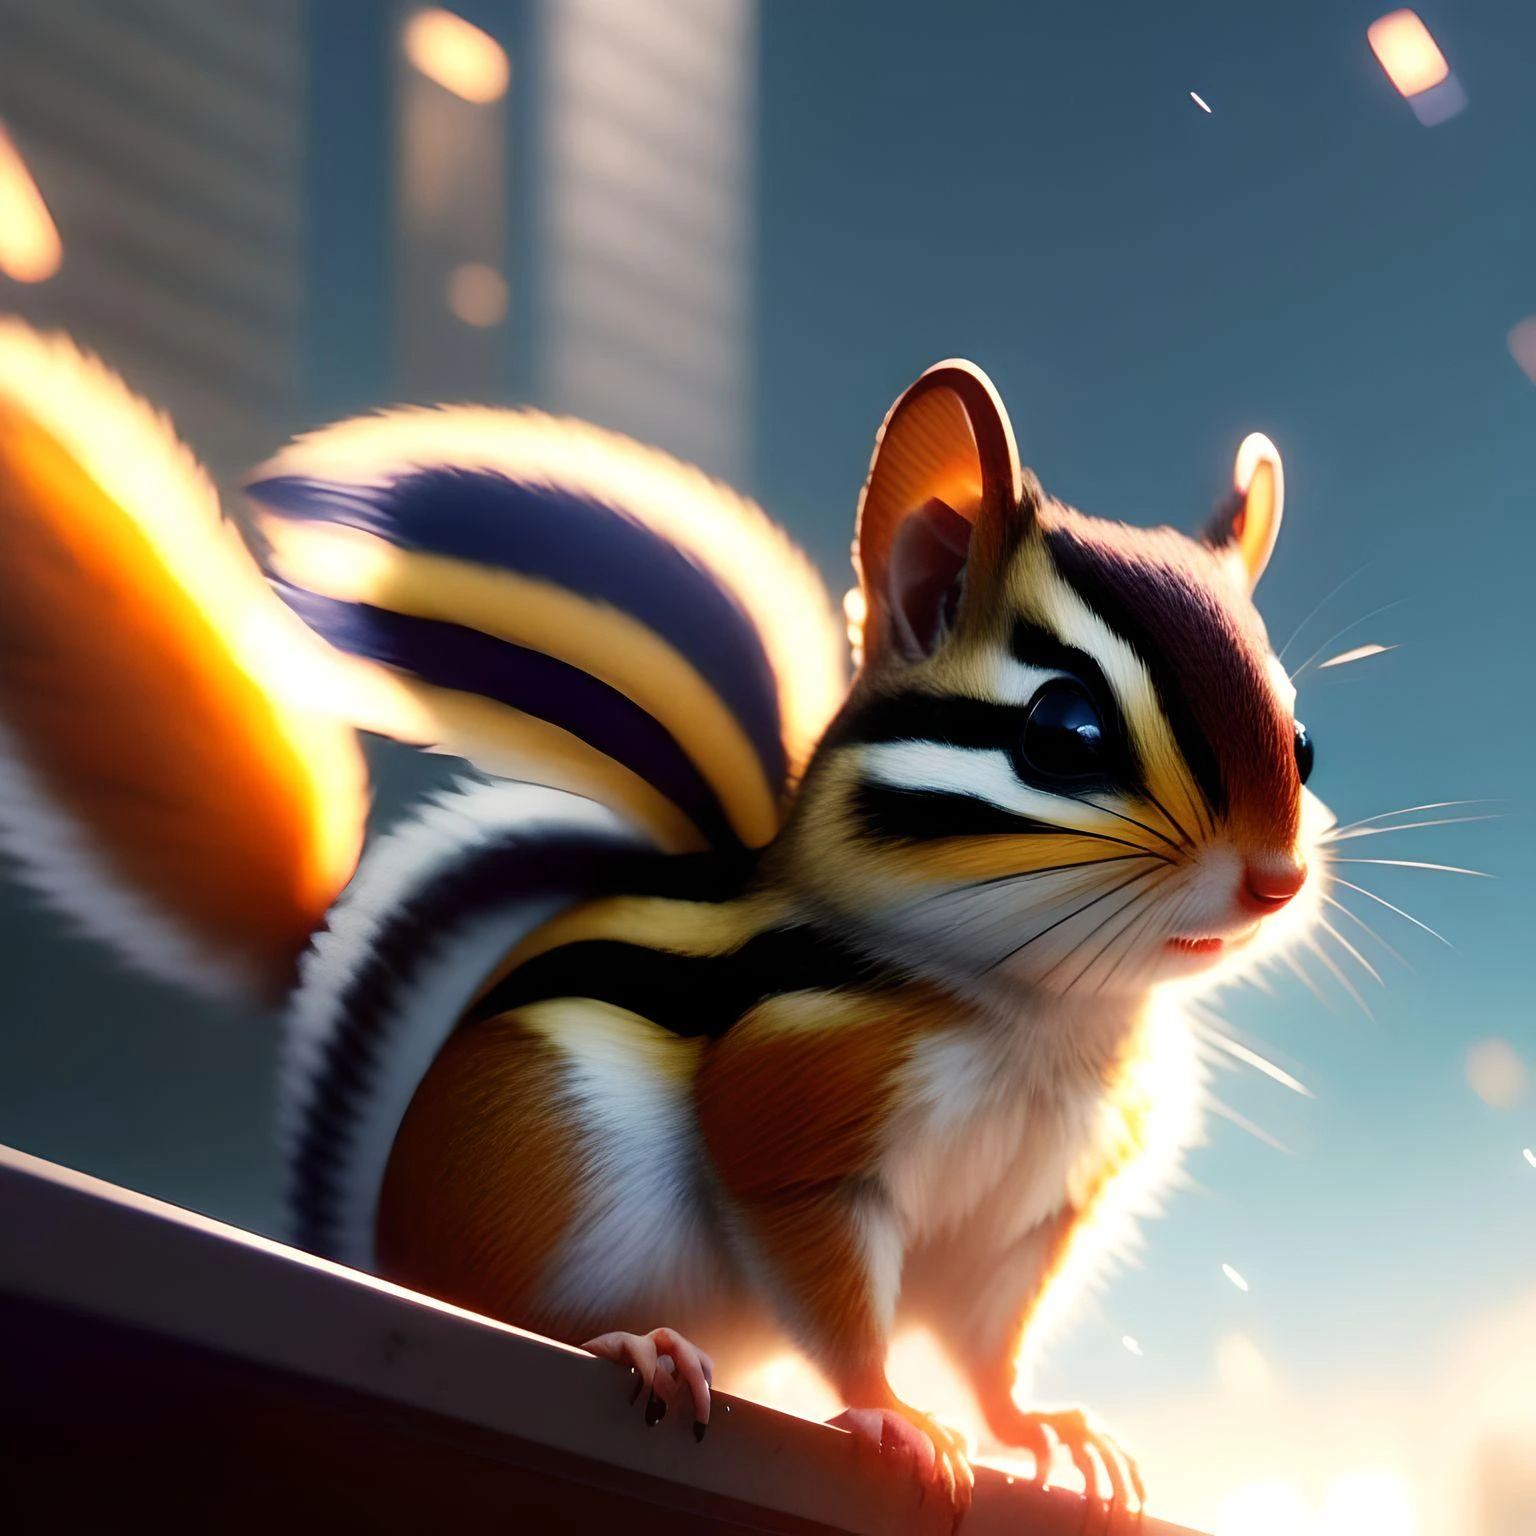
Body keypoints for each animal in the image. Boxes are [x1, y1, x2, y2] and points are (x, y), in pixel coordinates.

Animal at [0, 320, 1333, 1520]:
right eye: (1064, 730)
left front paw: (1045, 1428)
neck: (1047, 1014)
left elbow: (987, 1337)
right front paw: (894, 1415)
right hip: (543, 1164)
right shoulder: (792, 1123)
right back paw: (635, 1346)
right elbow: (834, 1292)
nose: (1274, 880)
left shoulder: (1029, 1217)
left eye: (1303, 744)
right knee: (507, 1307)